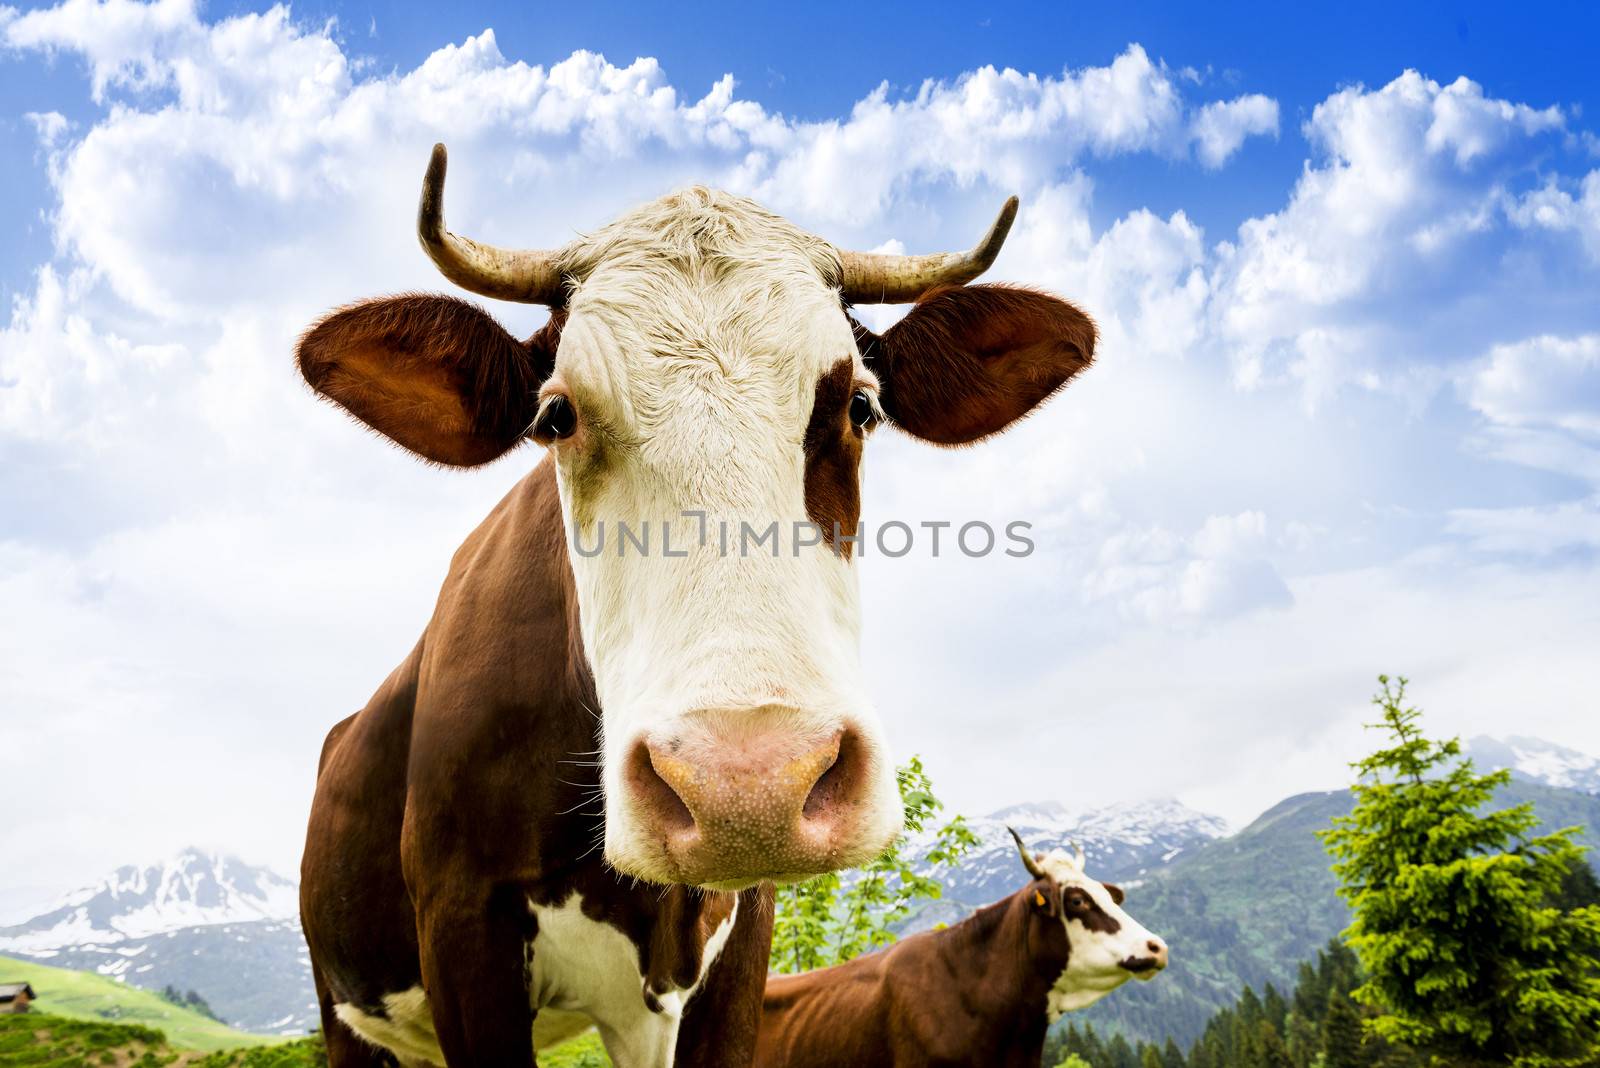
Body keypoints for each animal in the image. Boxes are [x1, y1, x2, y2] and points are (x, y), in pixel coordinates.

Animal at [297, 143, 1100, 1068]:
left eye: (859, 405)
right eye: (556, 415)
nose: (744, 789)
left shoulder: (740, 939)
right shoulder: (462, 924)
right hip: (347, 1009)